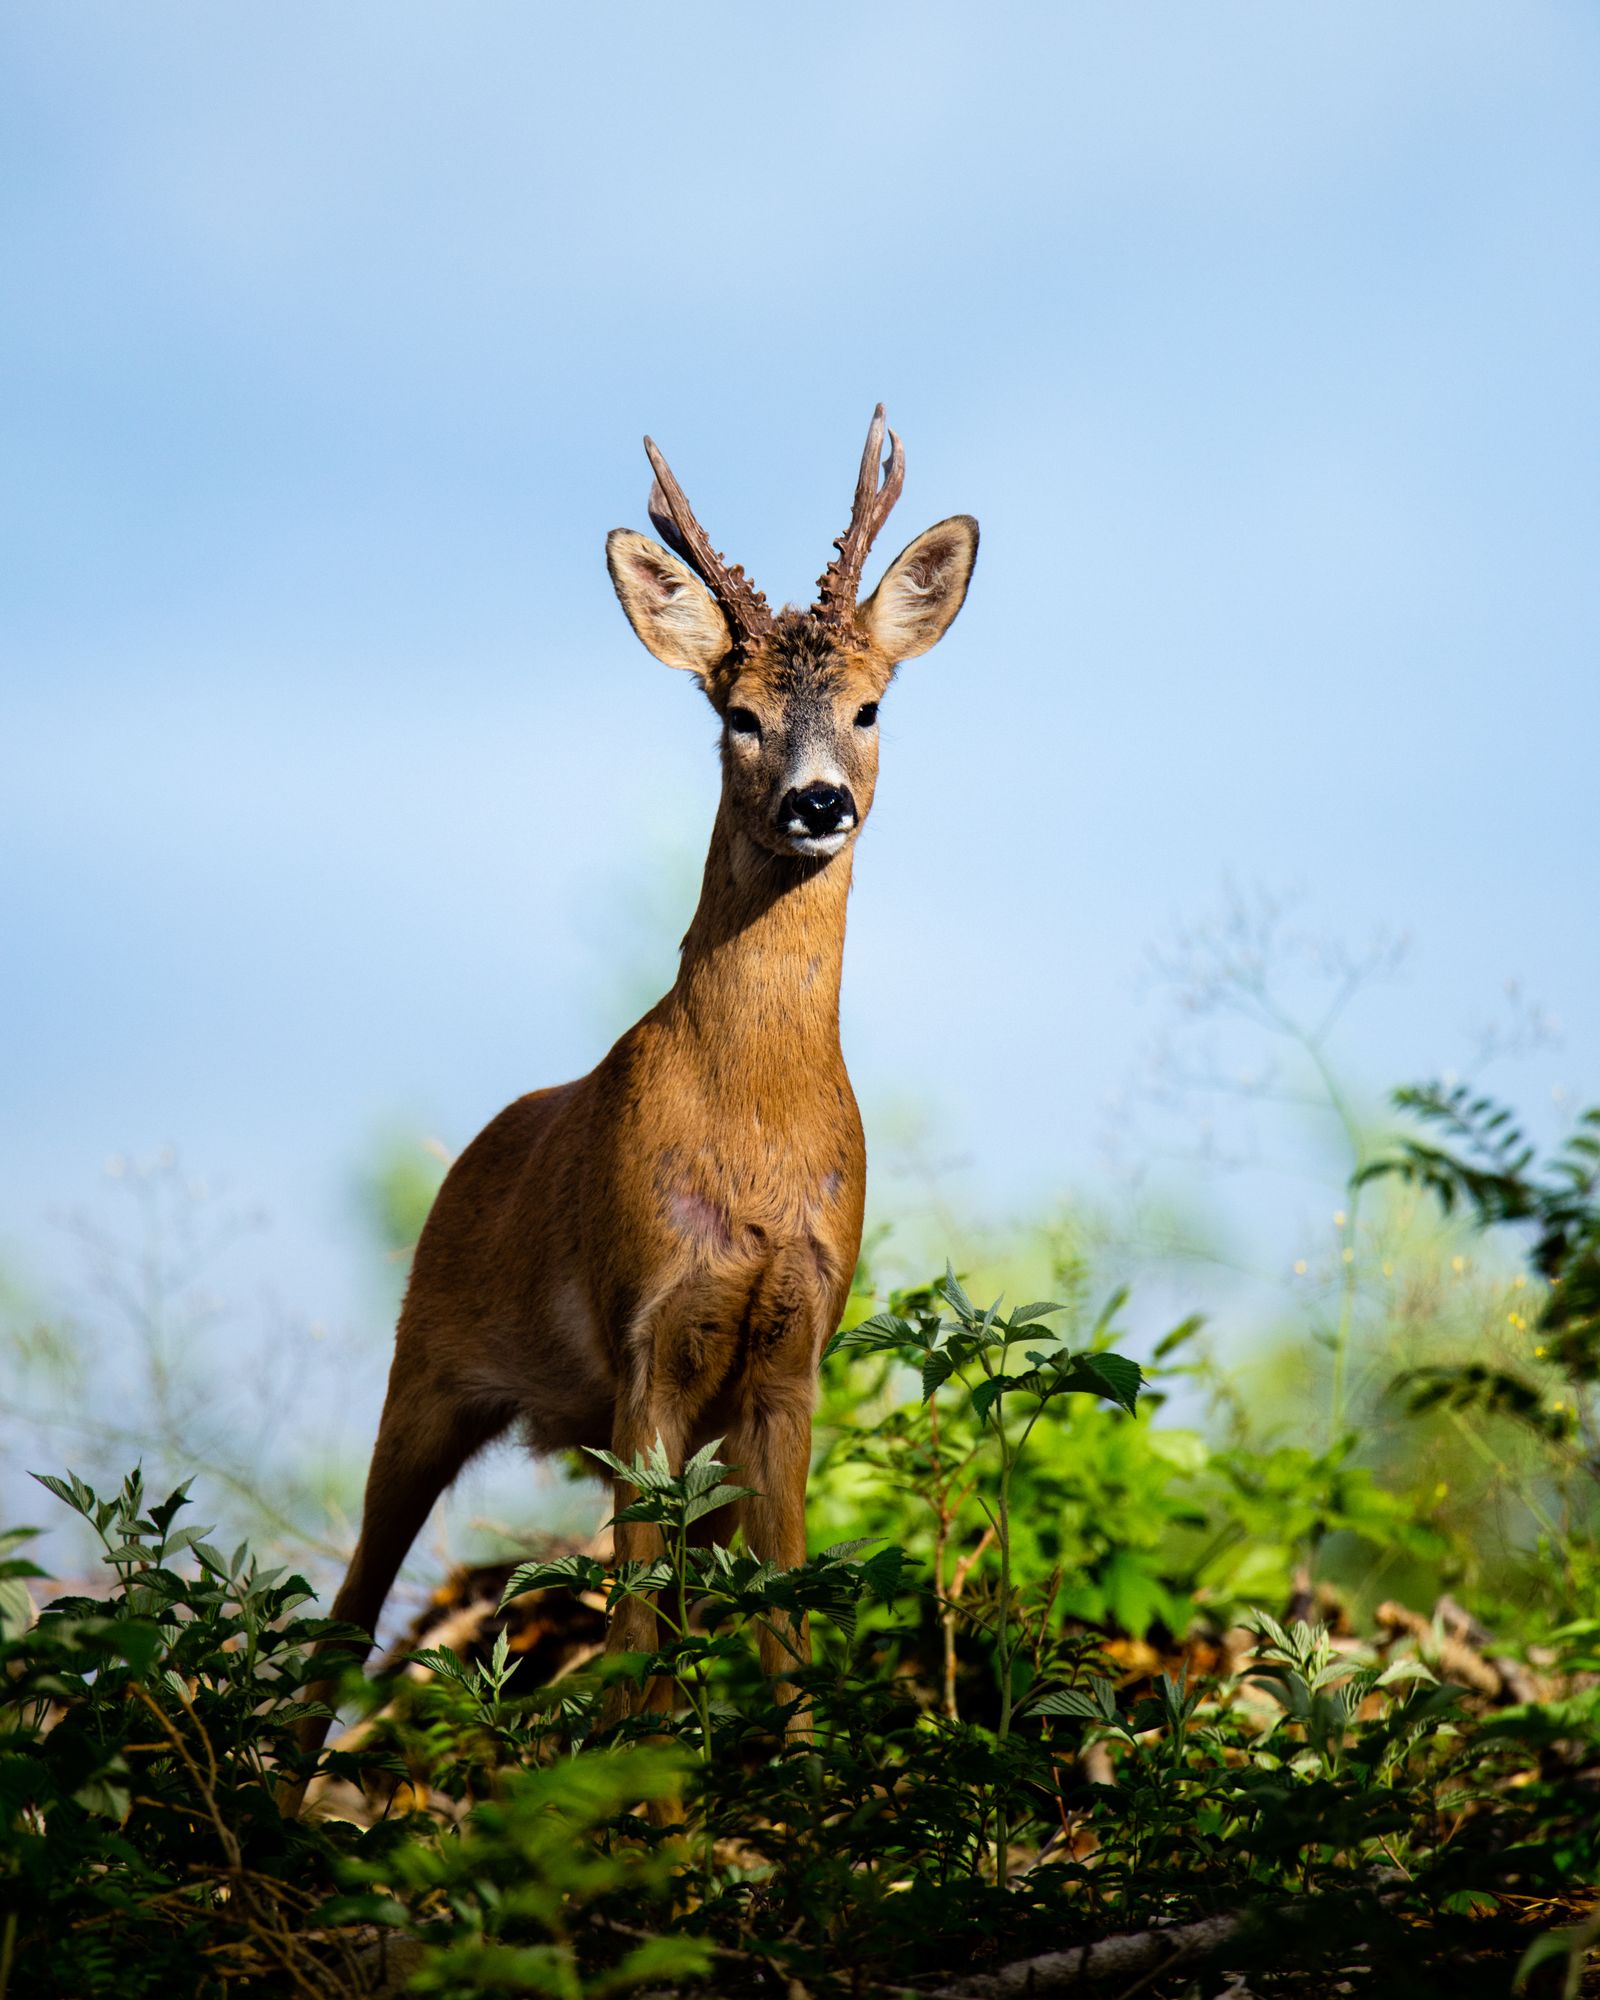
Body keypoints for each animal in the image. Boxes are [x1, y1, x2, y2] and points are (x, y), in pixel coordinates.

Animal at [288, 408, 977, 1796]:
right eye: (739, 713)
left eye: (870, 704)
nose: (818, 800)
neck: (754, 1132)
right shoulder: (643, 1331)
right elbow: (640, 1623)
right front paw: (645, 1791)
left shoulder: (793, 1349)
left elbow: (782, 1604)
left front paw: (796, 1779)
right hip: (424, 1365)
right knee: (350, 1605)